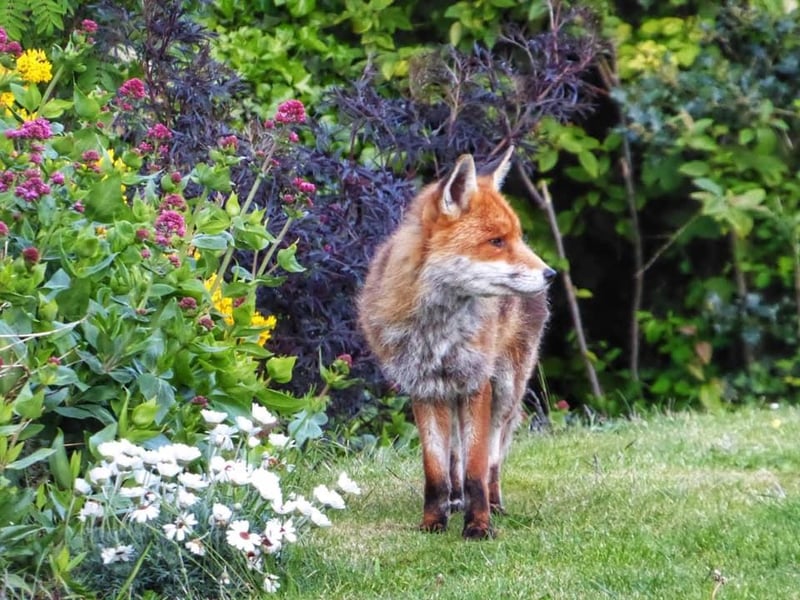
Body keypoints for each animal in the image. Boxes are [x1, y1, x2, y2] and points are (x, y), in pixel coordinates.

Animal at [357, 146, 556, 539]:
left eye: (515, 237)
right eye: (497, 241)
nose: (551, 274)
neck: (437, 331)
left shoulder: (476, 384)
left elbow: (476, 469)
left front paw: (478, 526)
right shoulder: (423, 388)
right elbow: (435, 470)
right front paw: (433, 522)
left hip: (506, 389)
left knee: (492, 455)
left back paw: (493, 504)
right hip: (450, 397)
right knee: (454, 459)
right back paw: (455, 500)